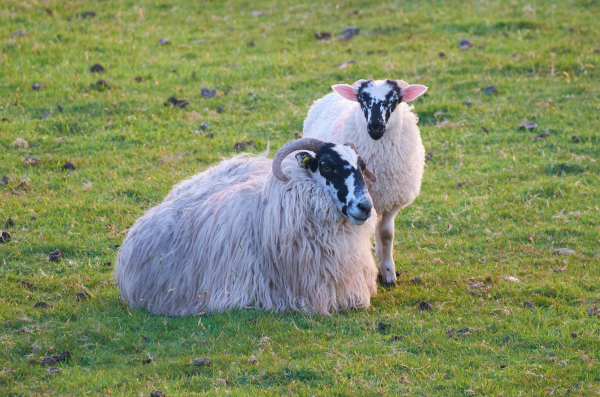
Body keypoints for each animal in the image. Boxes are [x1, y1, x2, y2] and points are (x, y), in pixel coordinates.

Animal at [302, 79, 428, 284]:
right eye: (362, 100)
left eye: (394, 101)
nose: (375, 126)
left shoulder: (391, 201)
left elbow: (386, 234)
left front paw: (388, 272)